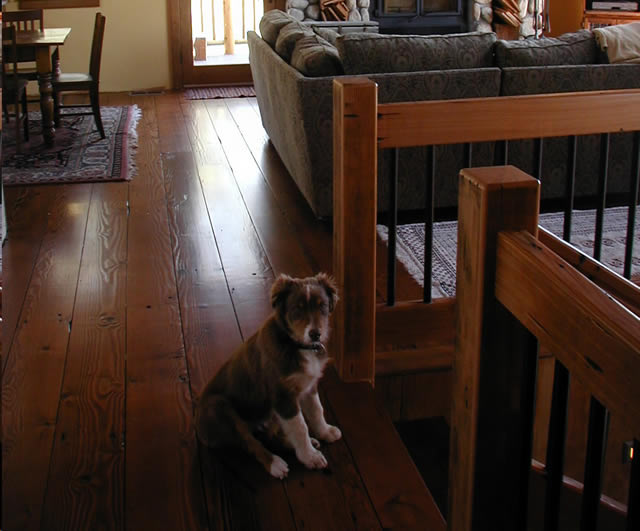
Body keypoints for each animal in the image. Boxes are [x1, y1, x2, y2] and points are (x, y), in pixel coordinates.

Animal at [195, 274, 342, 478]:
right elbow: (300, 426)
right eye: (297, 309)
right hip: (219, 407)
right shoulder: (282, 396)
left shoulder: (309, 386)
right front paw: (310, 457)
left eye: (323, 306)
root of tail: (198, 428)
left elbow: (316, 410)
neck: (295, 345)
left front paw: (325, 432)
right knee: (250, 442)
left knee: (269, 436)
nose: (315, 334)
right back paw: (275, 464)